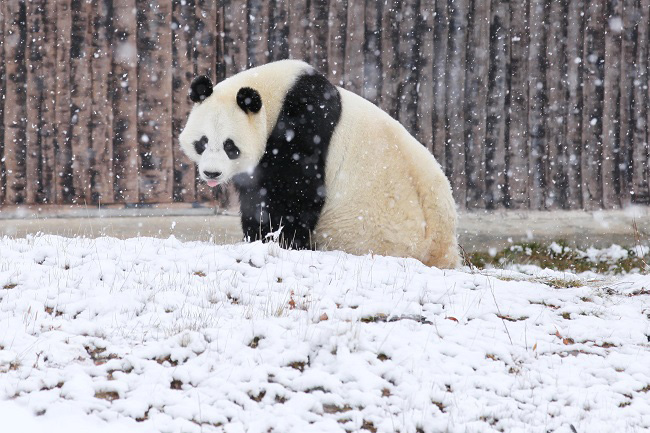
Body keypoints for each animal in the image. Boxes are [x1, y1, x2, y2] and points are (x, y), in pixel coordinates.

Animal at [180, 57, 458, 266]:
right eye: (202, 142)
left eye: (230, 147)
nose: (212, 173)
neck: (275, 95)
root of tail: (442, 249)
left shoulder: (304, 125)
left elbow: (293, 193)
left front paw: (276, 241)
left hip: (383, 233)